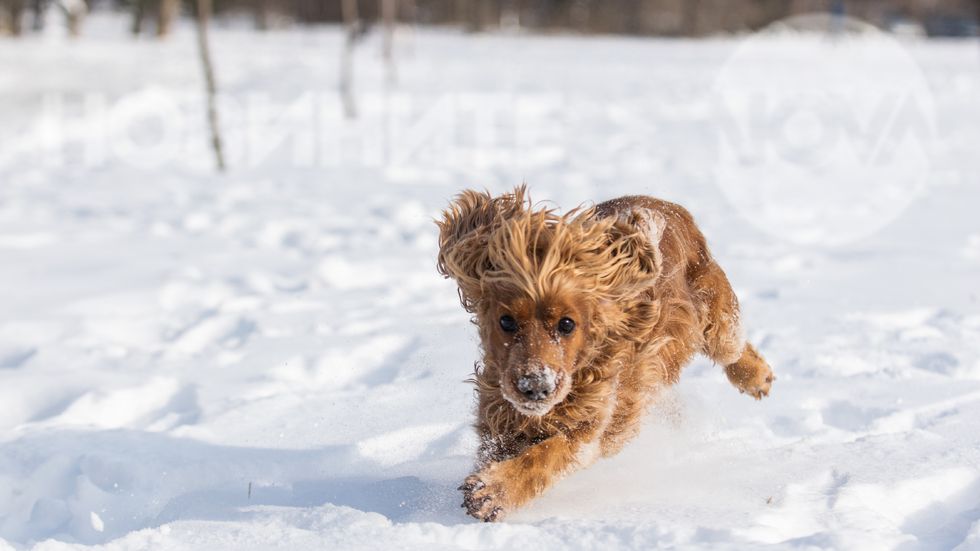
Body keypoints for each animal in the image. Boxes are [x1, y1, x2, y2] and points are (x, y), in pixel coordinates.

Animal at [436, 188, 772, 524]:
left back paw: (756, 377)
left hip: (715, 317)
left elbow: (546, 456)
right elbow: (500, 449)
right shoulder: (498, 417)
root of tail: (665, 203)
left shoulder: (591, 423)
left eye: (567, 324)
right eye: (506, 322)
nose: (536, 387)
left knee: (732, 346)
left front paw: (494, 491)